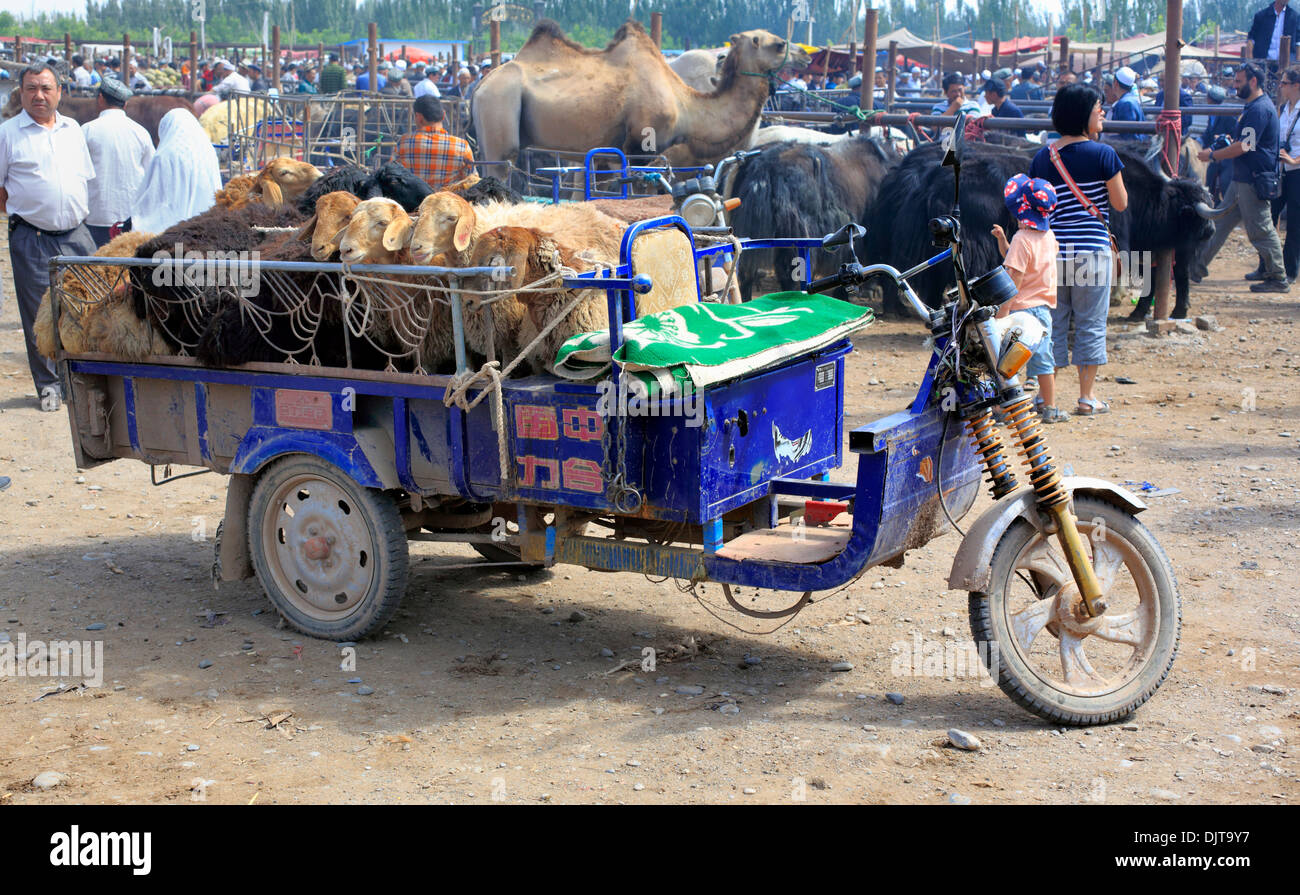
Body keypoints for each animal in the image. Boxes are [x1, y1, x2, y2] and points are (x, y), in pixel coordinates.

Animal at [473, 18, 806, 169]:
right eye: (778, 45)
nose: (803, 55)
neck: (686, 107)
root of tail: (479, 87)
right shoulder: (641, 145)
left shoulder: (609, 150)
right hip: (499, 107)